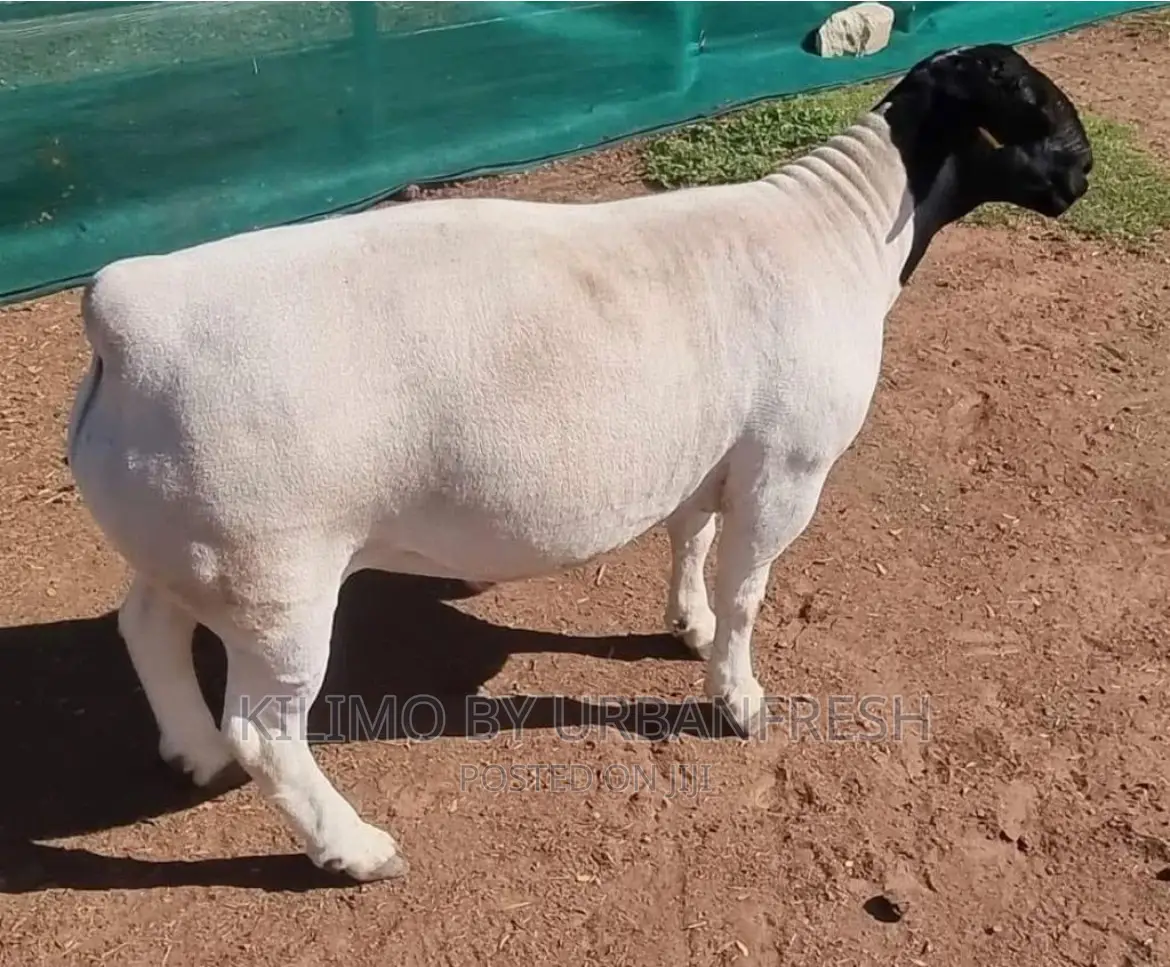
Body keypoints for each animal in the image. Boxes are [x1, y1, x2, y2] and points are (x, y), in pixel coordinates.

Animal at [64, 43, 1091, 882]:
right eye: (1027, 99)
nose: (1082, 171)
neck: (838, 227)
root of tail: (126, 312)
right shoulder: (787, 466)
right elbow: (748, 589)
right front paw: (739, 697)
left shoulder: (707, 450)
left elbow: (691, 537)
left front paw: (686, 624)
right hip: (273, 574)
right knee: (267, 731)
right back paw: (353, 847)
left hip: (187, 540)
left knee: (147, 627)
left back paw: (192, 750)